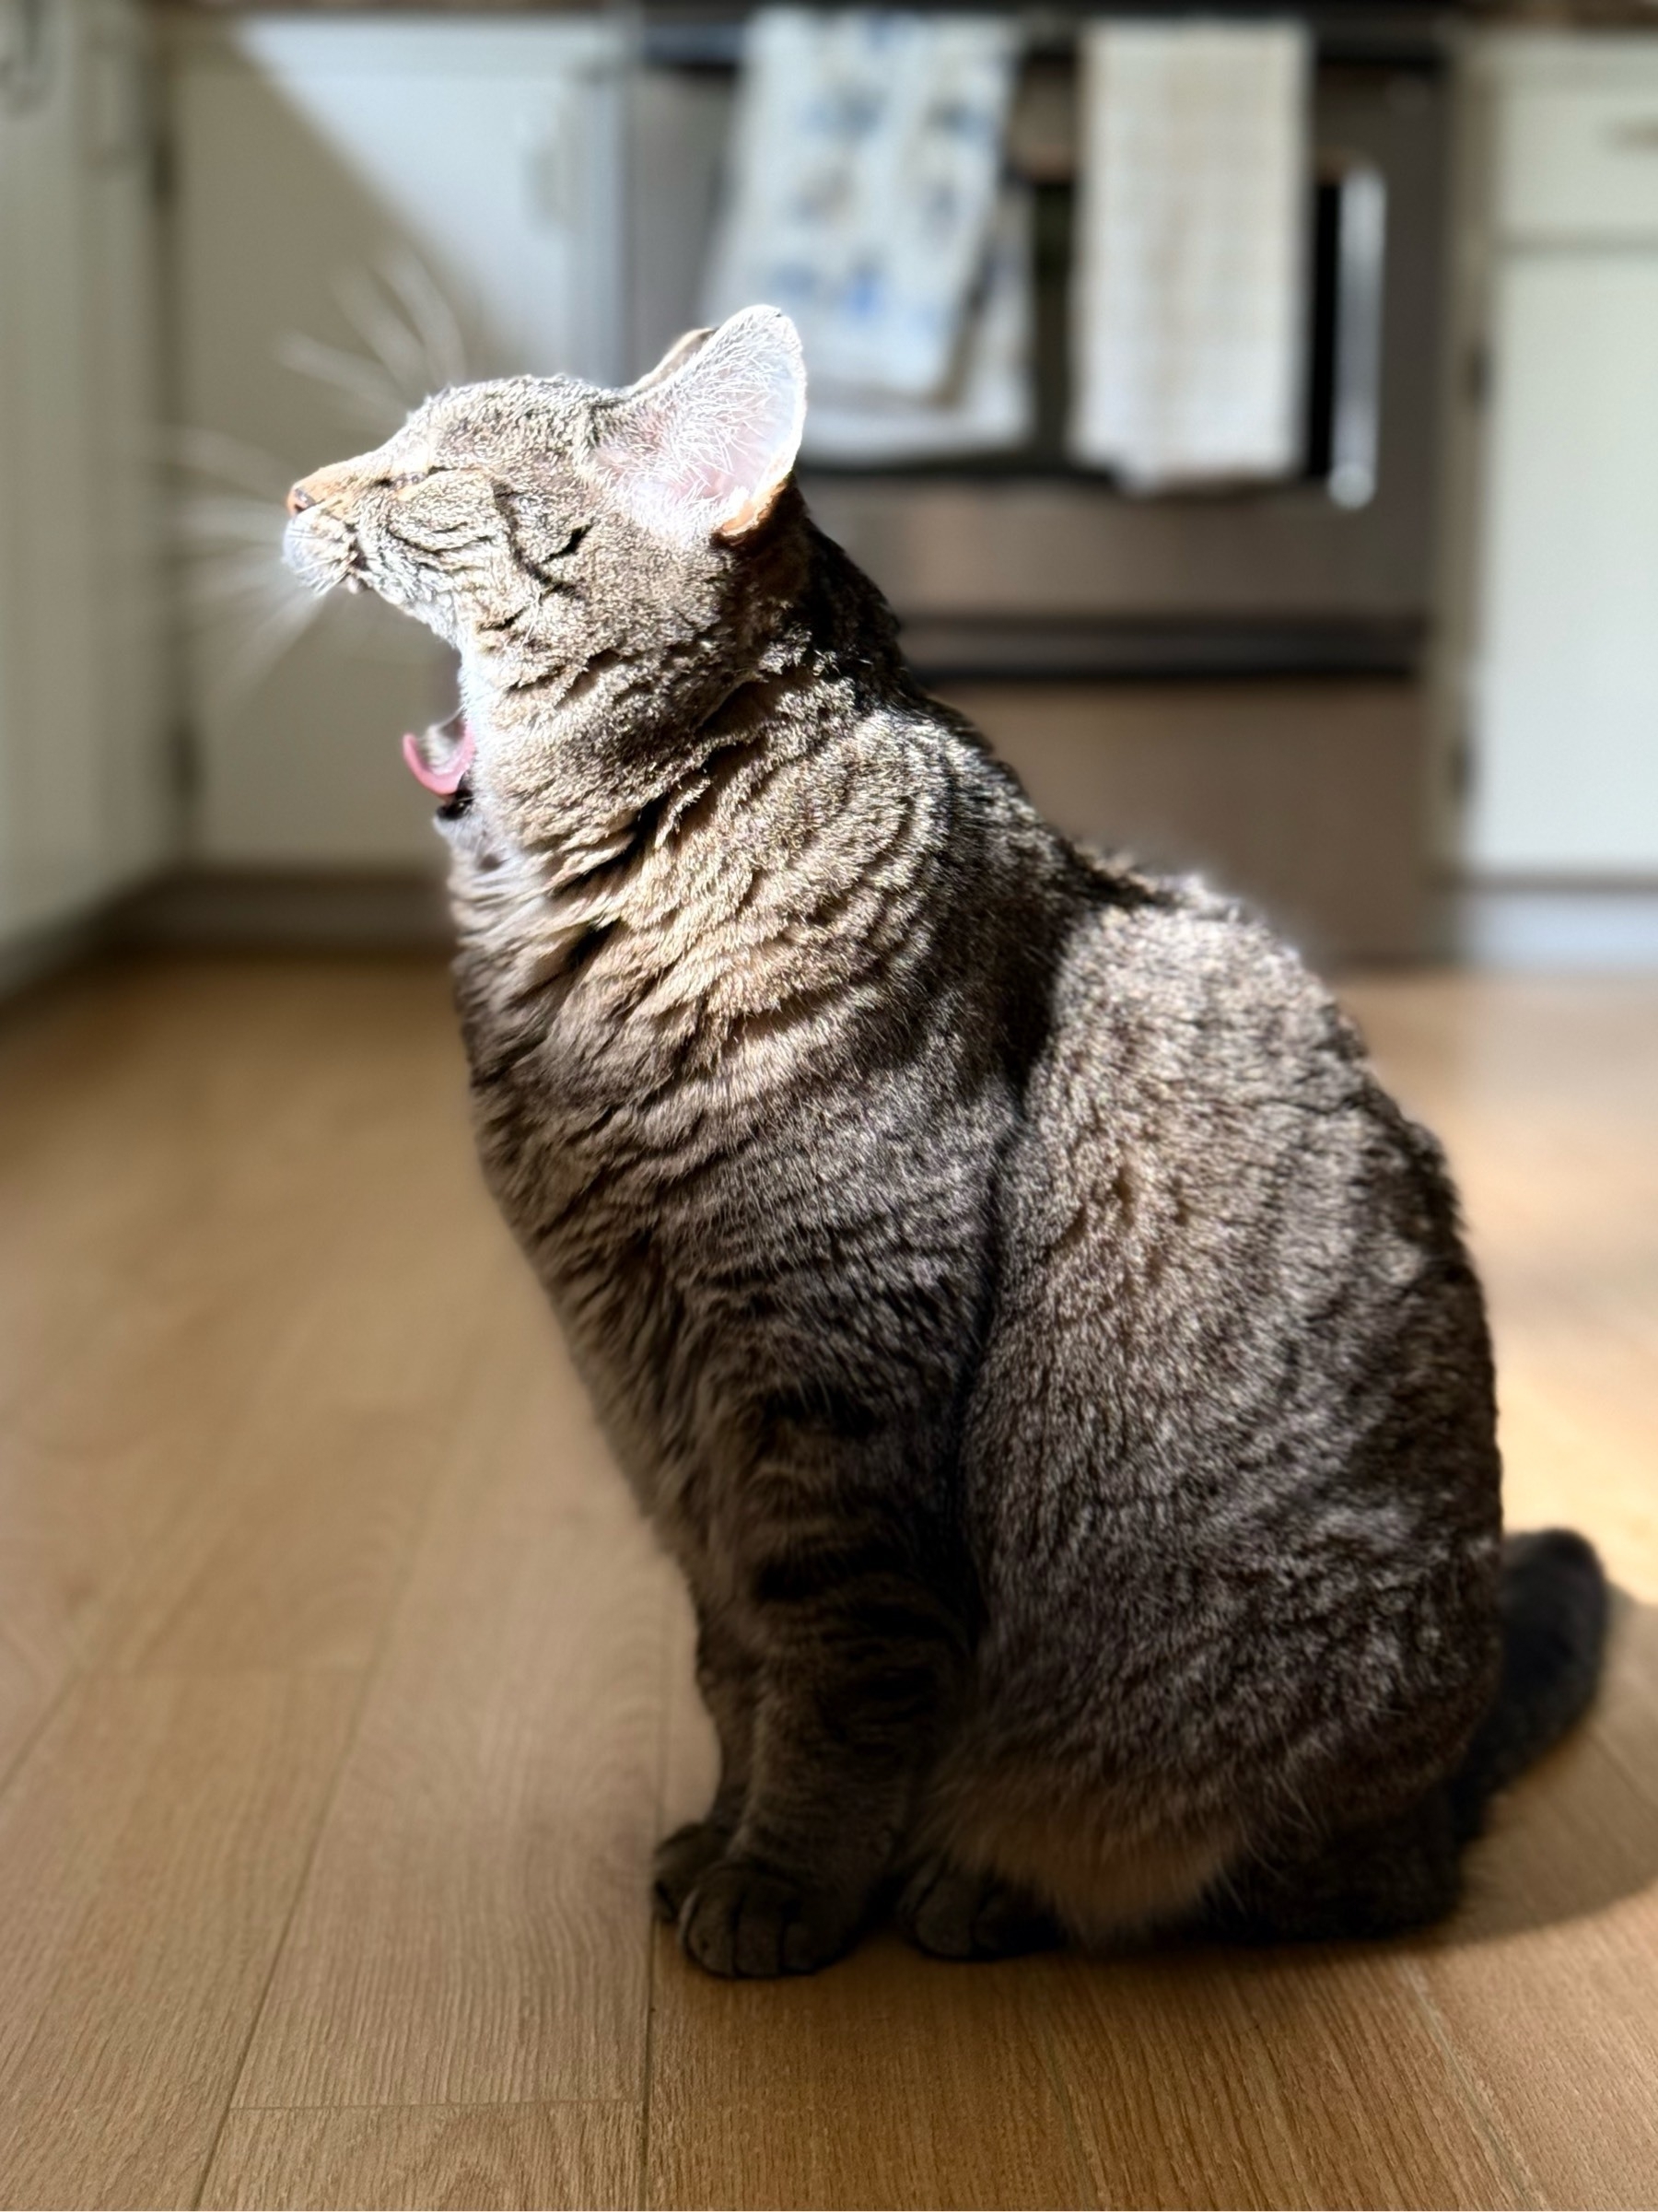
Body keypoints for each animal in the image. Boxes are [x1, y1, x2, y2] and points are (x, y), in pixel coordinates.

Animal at [285, 302, 1609, 1982]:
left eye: (422, 475)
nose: (295, 491)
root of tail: (1443, 1791)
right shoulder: (658, 1412)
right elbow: (733, 1662)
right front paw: (721, 1836)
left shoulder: (832, 1383)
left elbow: (835, 1675)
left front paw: (783, 1882)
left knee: (1291, 1884)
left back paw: (988, 1886)